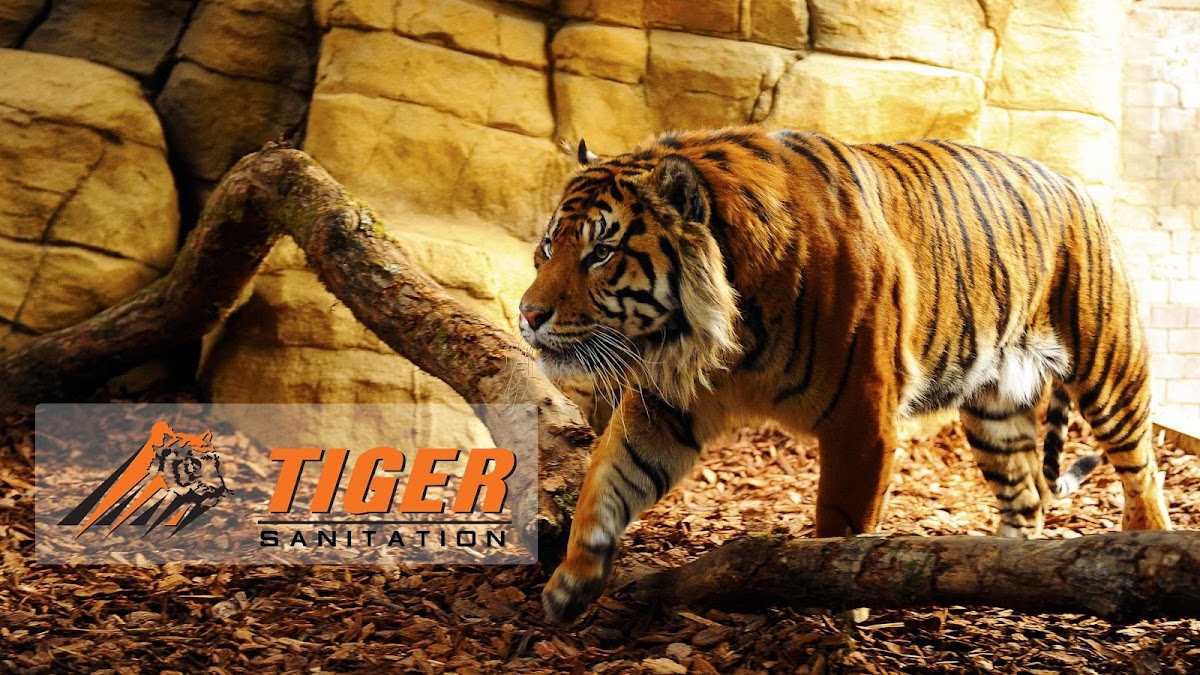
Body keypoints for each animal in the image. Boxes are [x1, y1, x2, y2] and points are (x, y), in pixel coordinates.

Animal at [518, 126, 1173, 623]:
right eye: (548, 247)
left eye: (601, 254)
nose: (527, 315)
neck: (719, 334)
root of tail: (1077, 186)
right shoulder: (665, 404)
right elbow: (607, 477)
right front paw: (571, 582)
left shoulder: (861, 418)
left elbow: (838, 524)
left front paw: (829, 610)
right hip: (995, 409)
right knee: (1027, 494)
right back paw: (1001, 572)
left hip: (1109, 368)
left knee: (1142, 468)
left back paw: (1143, 541)